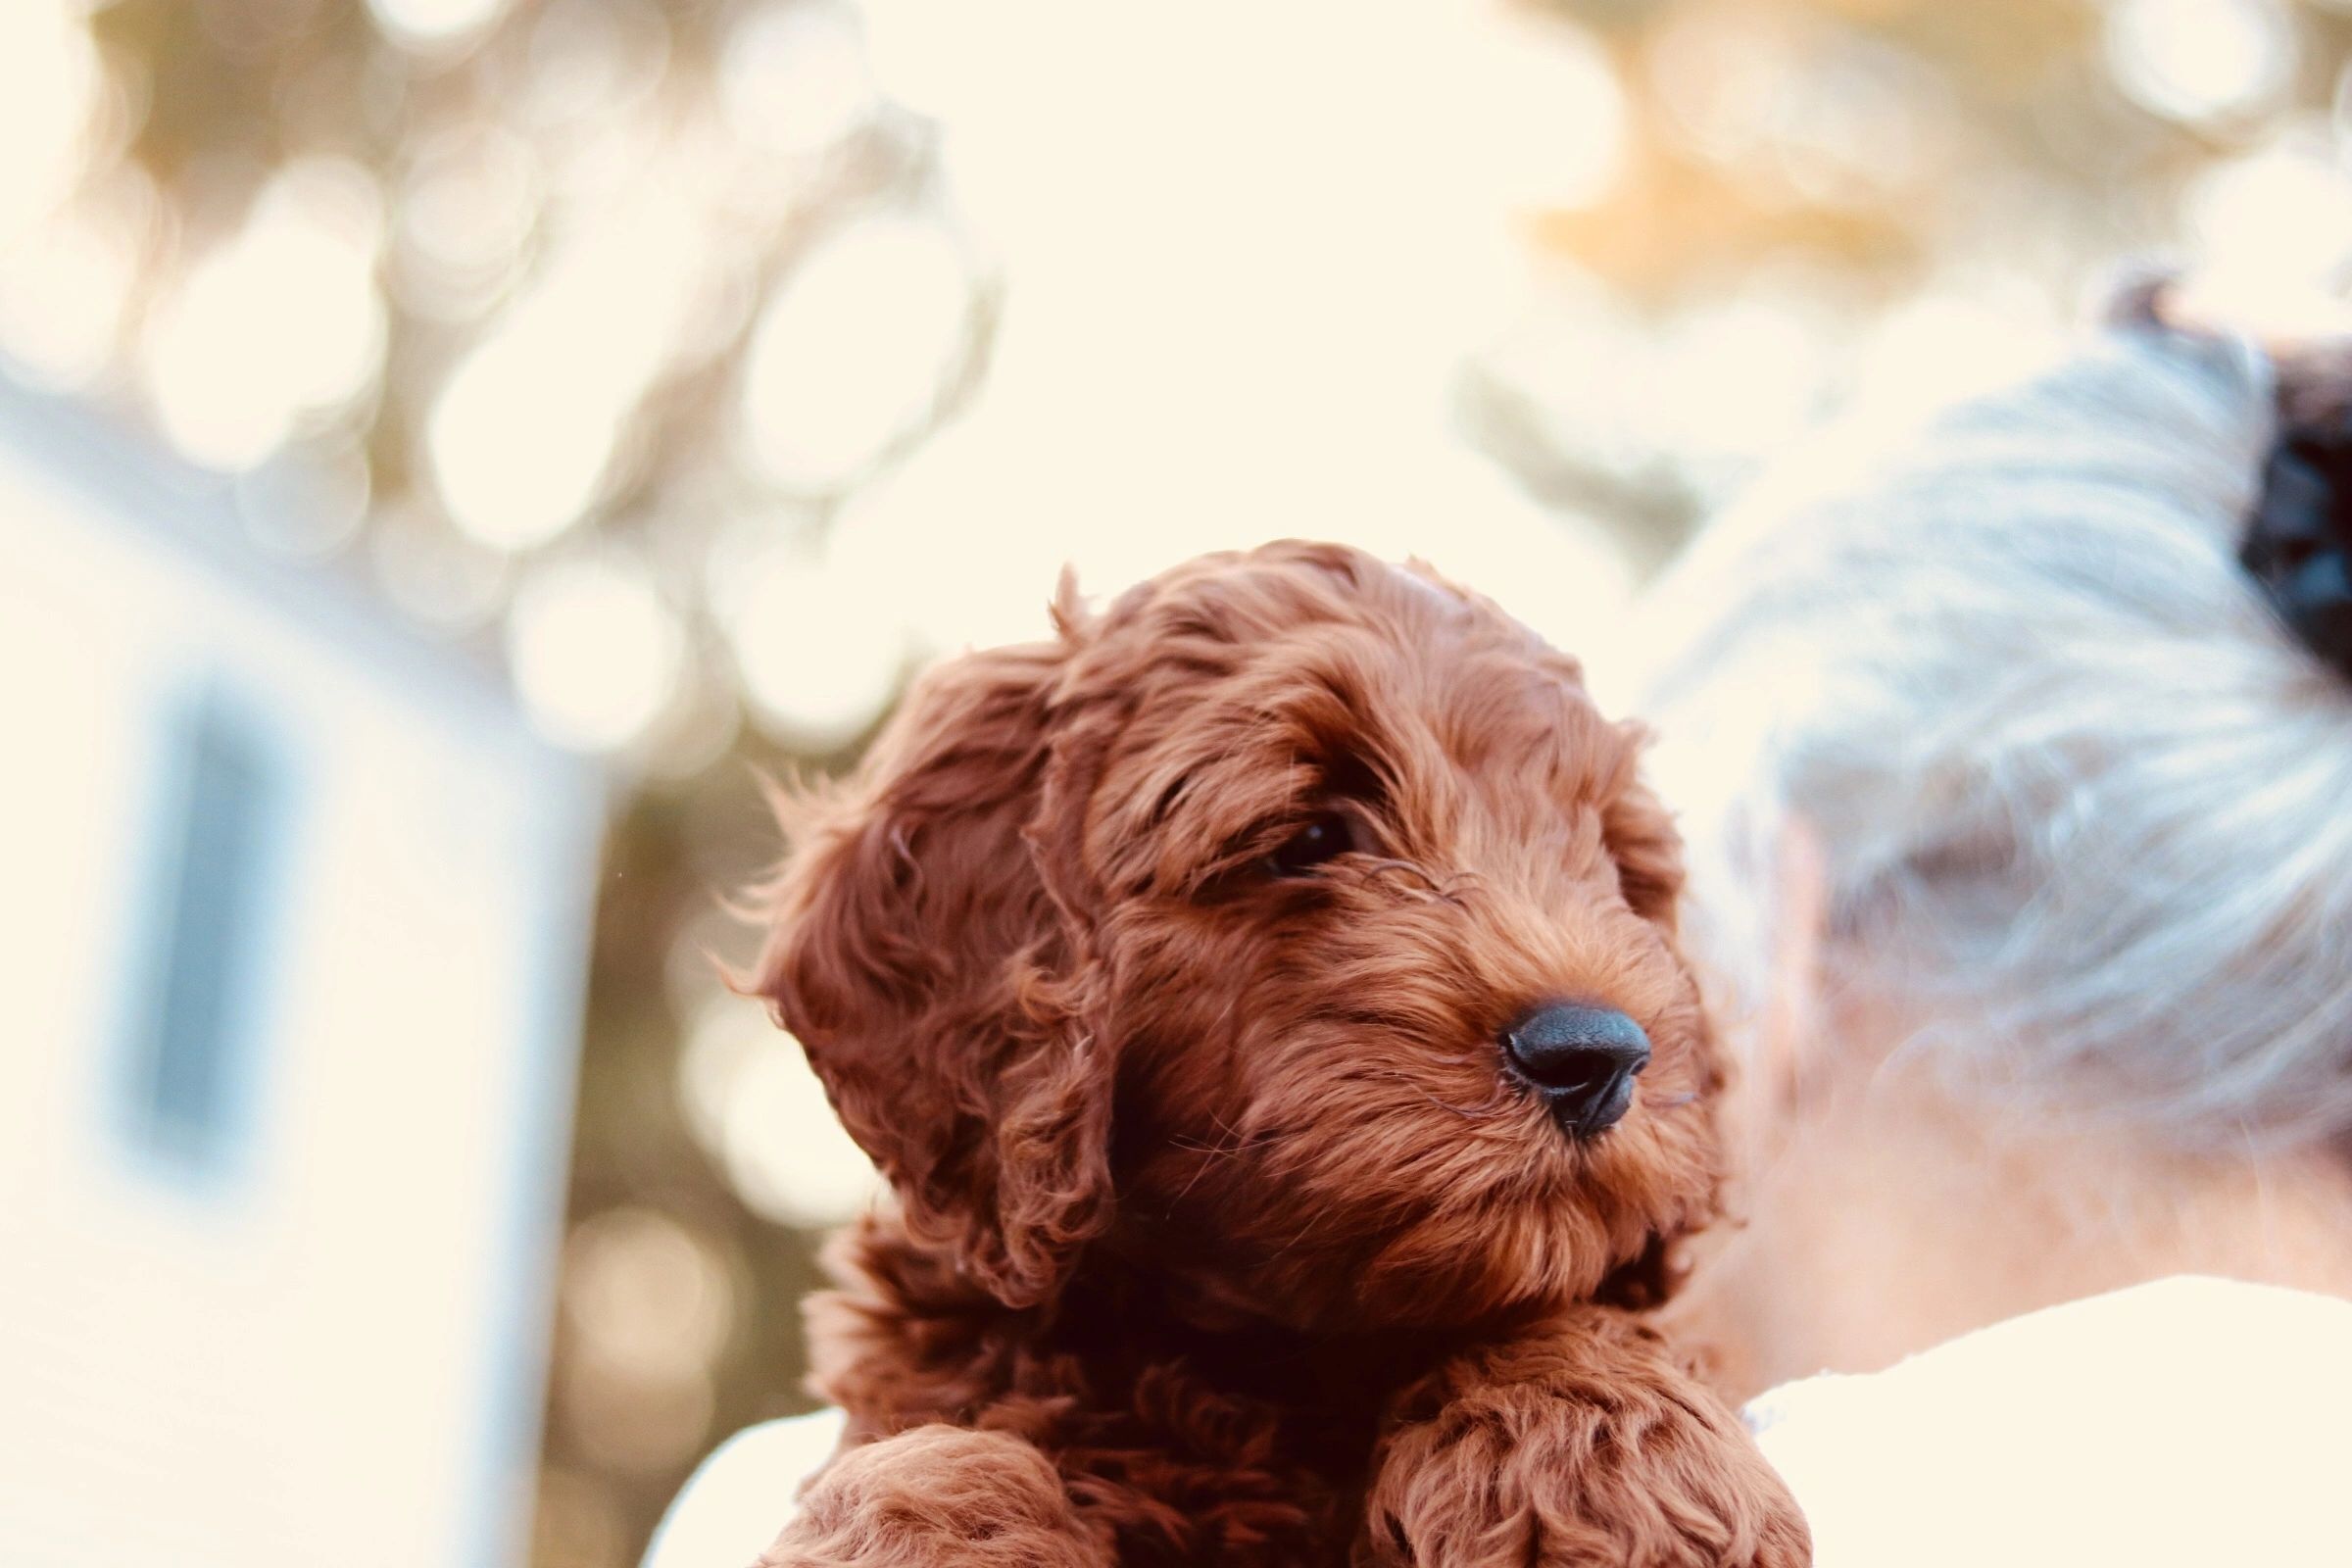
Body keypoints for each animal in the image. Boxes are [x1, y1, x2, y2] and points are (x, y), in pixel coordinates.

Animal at [748, 543, 1796, 1568]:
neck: (1260, 1361)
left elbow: (1567, 1312)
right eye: (1310, 837)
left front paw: (1604, 1457)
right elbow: (932, 1464)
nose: (1597, 1055)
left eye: (1610, 868)